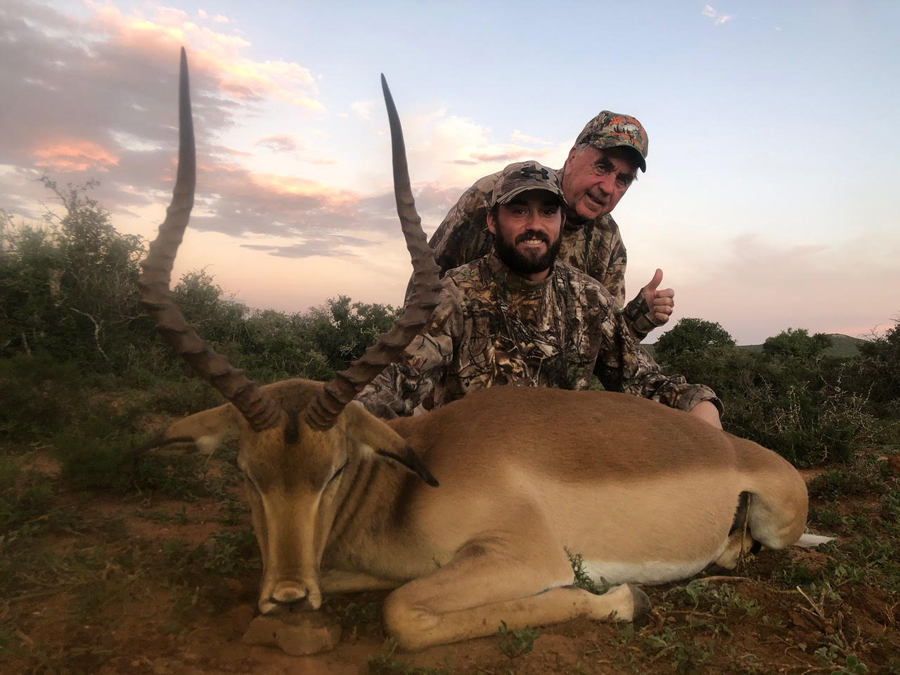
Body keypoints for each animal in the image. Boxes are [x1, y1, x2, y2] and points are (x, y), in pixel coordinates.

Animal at [139, 50, 826, 653]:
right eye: (244, 472)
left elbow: (402, 610)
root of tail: (745, 455)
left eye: (333, 469)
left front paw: (623, 597)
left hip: (773, 526)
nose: (285, 596)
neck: (401, 488)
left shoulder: (524, 556)